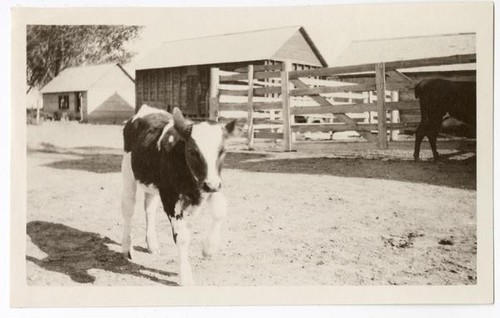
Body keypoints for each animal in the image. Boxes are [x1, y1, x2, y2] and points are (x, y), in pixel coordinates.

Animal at [119, 104, 240, 286]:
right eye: (192, 151)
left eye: (223, 151)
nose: (211, 185)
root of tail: (147, 109)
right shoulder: (170, 198)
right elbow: (182, 236)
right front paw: (185, 277)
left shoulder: (213, 185)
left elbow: (220, 212)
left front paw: (209, 249)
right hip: (128, 172)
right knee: (128, 208)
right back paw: (127, 249)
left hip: (152, 184)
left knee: (149, 209)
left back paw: (152, 245)